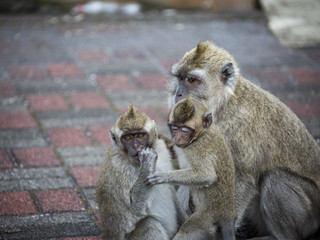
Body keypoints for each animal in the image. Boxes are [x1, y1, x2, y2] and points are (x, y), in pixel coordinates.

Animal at [147, 96, 235, 240]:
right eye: (175, 127)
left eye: (185, 129)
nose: (177, 138)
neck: (202, 133)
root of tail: (227, 214)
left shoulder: (197, 149)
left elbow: (207, 175)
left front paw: (163, 175)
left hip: (205, 222)